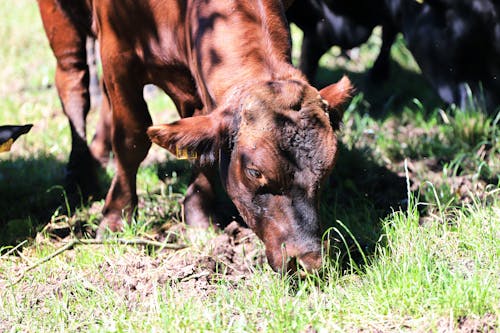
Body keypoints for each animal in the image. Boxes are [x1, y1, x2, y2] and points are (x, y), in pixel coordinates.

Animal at [38, 0, 352, 272]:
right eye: (254, 171)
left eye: (327, 171)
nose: (308, 261)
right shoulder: (118, 53)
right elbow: (132, 137)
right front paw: (117, 217)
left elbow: (204, 147)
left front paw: (198, 216)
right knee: (73, 85)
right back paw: (81, 173)